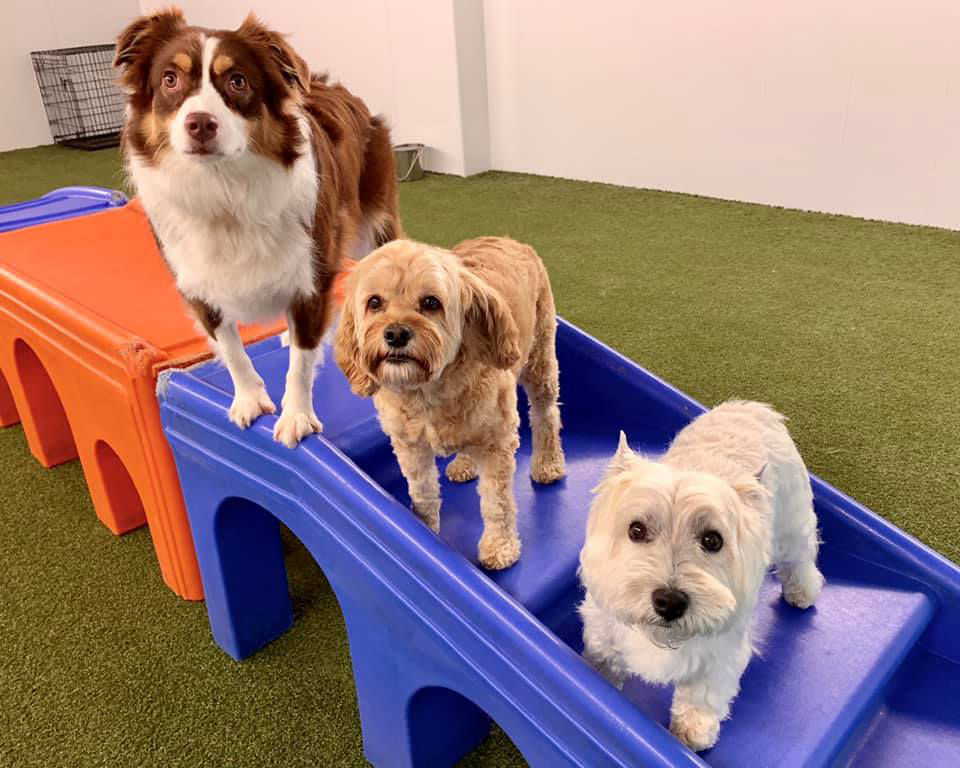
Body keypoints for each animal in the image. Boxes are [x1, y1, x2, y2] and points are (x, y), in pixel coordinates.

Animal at [114, 7, 400, 444]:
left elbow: (300, 363)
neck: (224, 188)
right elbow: (231, 347)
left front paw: (296, 417)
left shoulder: (311, 275)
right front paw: (249, 399)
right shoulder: (196, 282)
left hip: (377, 225)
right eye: (169, 79)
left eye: (238, 81)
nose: (200, 123)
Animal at [334, 237, 568, 568]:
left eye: (431, 302)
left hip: (541, 358)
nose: (395, 333)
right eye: (375, 302)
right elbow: (423, 491)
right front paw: (423, 529)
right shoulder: (409, 446)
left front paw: (500, 547)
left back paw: (548, 463)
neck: (427, 392)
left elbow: (497, 503)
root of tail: (510, 239)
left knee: (545, 414)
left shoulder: (497, 444)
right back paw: (464, 463)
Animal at [576, 402, 824, 752]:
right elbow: (603, 662)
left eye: (712, 540)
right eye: (636, 530)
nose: (669, 601)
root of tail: (754, 407)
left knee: (802, 556)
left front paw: (692, 733)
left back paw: (802, 591)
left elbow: (703, 696)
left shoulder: (723, 650)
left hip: (792, 519)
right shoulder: (603, 630)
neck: (661, 637)